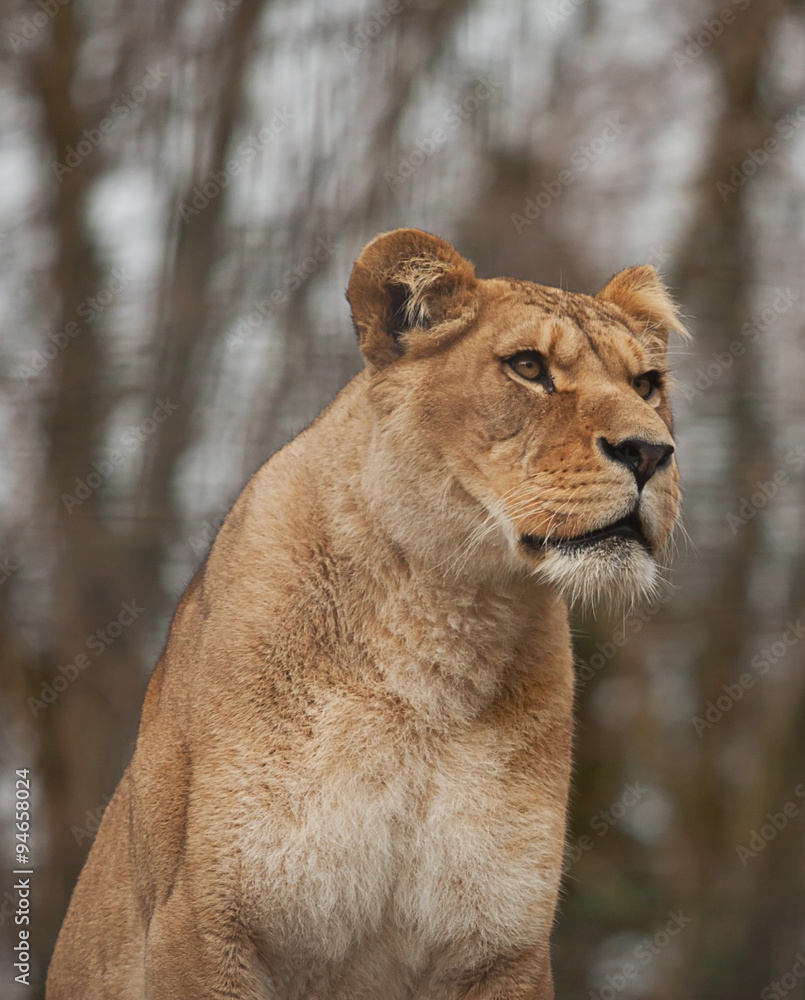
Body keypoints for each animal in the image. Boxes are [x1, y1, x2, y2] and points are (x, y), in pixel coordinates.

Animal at [47, 228, 686, 1000]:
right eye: (528, 367)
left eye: (646, 384)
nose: (650, 452)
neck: (445, 622)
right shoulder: (202, 925)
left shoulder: (502, 949)